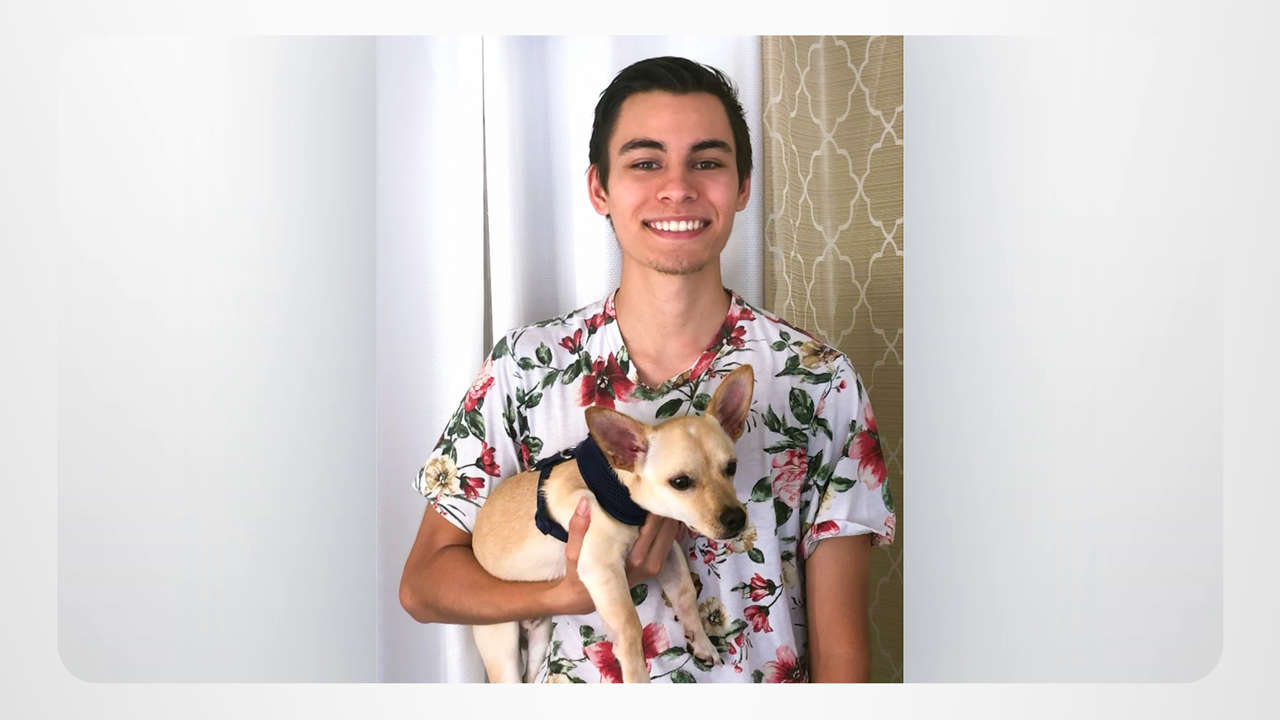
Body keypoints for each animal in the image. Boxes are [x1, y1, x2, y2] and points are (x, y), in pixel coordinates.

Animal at [470, 364, 755, 683]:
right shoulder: (602, 568)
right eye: (680, 483)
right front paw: (636, 675)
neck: (622, 494)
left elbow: (685, 595)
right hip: (502, 646)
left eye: (731, 468)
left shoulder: (668, 555)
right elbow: (630, 627)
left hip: (539, 638)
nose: (736, 518)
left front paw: (702, 641)